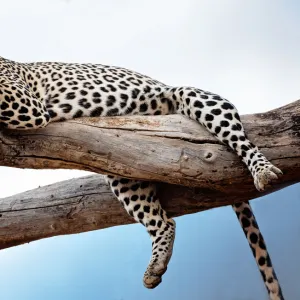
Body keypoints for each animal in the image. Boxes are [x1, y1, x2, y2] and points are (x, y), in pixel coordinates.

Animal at [0, 56, 284, 300]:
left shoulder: (28, 103)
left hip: (195, 97)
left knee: (241, 139)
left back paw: (263, 171)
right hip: (123, 171)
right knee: (164, 222)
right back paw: (154, 268)